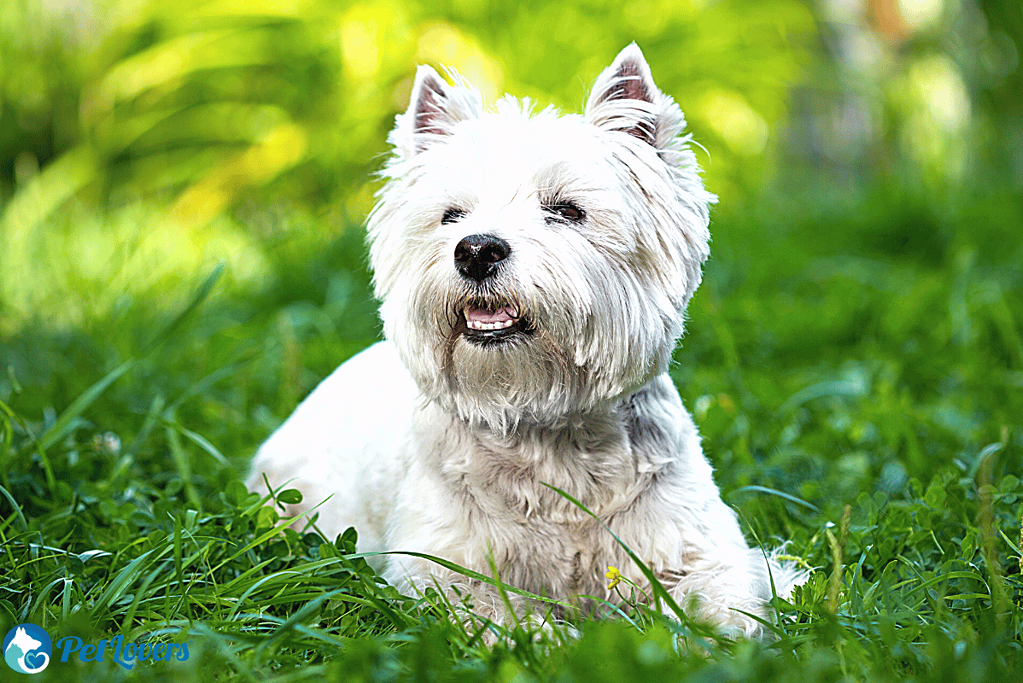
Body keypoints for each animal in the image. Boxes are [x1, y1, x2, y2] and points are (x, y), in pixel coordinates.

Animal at [249, 45, 806, 638]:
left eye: (566, 210)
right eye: (451, 216)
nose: (475, 250)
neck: (547, 431)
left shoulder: (702, 548)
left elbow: (730, 607)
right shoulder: (441, 570)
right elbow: (510, 620)